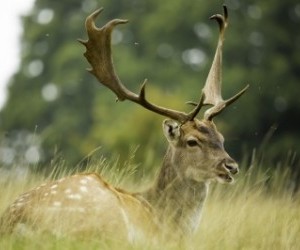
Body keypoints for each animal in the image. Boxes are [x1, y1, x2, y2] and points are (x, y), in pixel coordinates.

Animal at [0, 5, 248, 243]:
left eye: (221, 138)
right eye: (192, 141)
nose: (231, 166)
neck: (165, 221)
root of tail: (15, 221)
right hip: (105, 221)